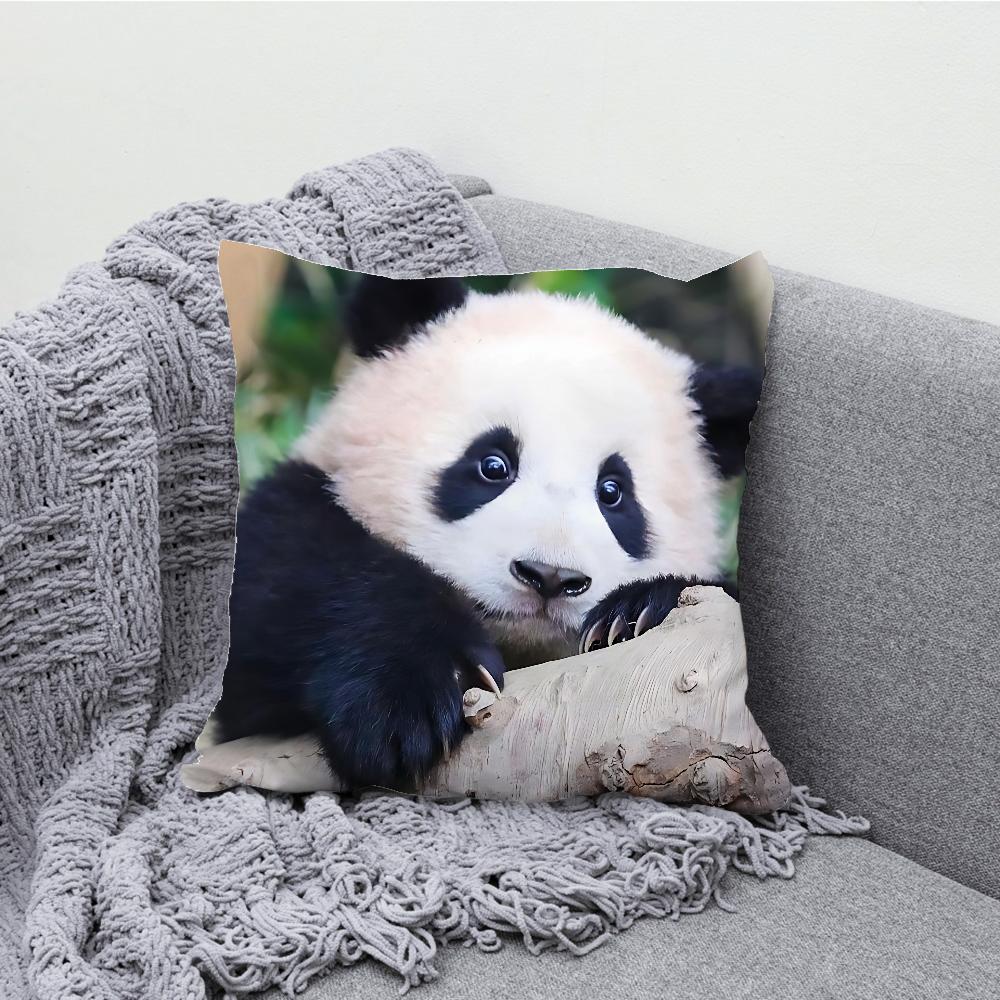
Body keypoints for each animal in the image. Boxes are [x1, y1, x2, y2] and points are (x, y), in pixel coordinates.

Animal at [213, 274, 760, 790]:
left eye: (613, 492)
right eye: (493, 464)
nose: (550, 576)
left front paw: (635, 613)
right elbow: (286, 585)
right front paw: (406, 699)